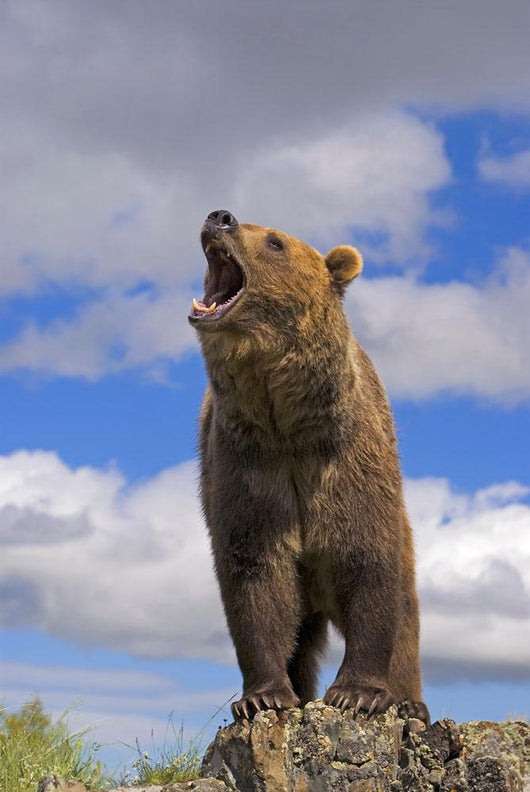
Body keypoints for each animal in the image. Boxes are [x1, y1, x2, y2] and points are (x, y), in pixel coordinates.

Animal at [189, 209, 429, 725]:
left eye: (275, 241)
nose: (220, 218)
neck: (285, 421)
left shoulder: (346, 462)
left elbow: (368, 563)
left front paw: (358, 693)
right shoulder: (249, 467)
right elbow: (255, 575)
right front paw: (263, 695)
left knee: (405, 609)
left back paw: (410, 701)